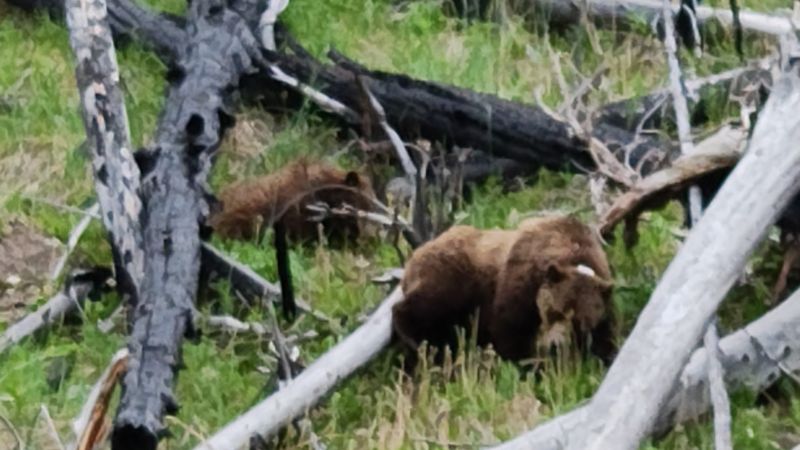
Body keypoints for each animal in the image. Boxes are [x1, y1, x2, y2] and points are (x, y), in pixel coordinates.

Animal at [391, 215, 616, 366]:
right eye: (555, 311)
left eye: (580, 321)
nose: (556, 345)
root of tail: (417, 252)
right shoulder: (522, 281)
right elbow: (510, 329)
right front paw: (530, 363)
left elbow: (604, 336)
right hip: (454, 275)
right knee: (426, 306)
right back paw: (419, 343)